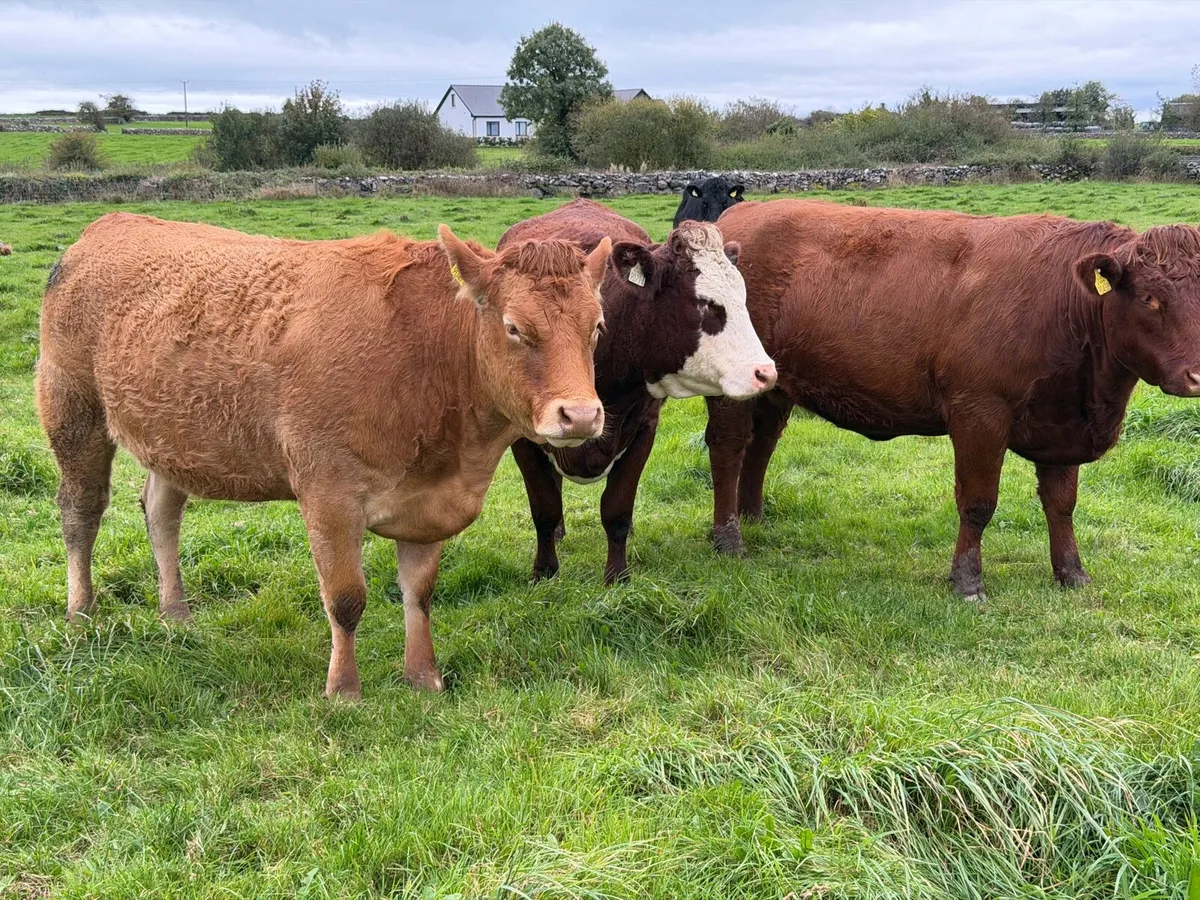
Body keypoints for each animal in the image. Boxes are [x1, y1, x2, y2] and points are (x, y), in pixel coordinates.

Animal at [36, 212, 611, 699]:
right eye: (514, 327)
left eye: (598, 327)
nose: (580, 415)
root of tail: (108, 225)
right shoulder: (328, 493)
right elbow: (346, 598)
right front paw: (344, 691)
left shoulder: (427, 503)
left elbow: (419, 593)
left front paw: (423, 678)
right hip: (74, 412)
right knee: (80, 512)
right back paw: (81, 612)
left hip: (172, 437)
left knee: (160, 511)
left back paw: (176, 613)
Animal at [497, 199, 776, 583]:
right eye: (704, 304)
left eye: (744, 298)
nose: (765, 372)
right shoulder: (522, 437)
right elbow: (544, 508)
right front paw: (545, 572)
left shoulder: (643, 429)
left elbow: (617, 508)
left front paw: (617, 576)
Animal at [705, 199, 1200, 599]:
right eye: (1149, 298)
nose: (1197, 374)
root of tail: (740, 212)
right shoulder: (978, 413)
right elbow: (978, 503)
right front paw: (967, 581)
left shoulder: (1061, 426)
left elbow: (1062, 503)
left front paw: (1072, 574)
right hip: (731, 390)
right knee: (728, 448)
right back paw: (729, 539)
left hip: (773, 388)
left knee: (761, 446)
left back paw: (752, 517)